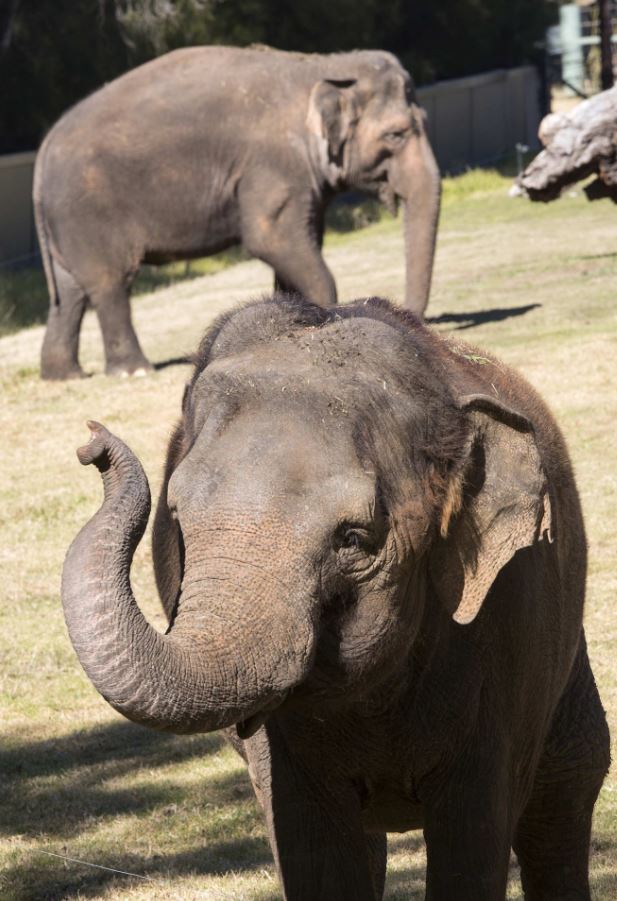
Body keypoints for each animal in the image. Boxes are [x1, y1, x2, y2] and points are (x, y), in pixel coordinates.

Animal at [34, 46, 440, 380]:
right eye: (396, 135)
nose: (413, 319)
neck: (319, 66)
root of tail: (42, 152)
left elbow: (300, 244)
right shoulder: (273, 165)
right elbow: (271, 240)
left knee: (70, 294)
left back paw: (64, 376)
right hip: (87, 215)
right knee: (109, 283)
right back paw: (133, 371)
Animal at [61, 295, 609, 900]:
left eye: (353, 538)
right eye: (177, 518)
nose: (91, 441)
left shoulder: (512, 617)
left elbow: (474, 835)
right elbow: (314, 848)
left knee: (567, 785)